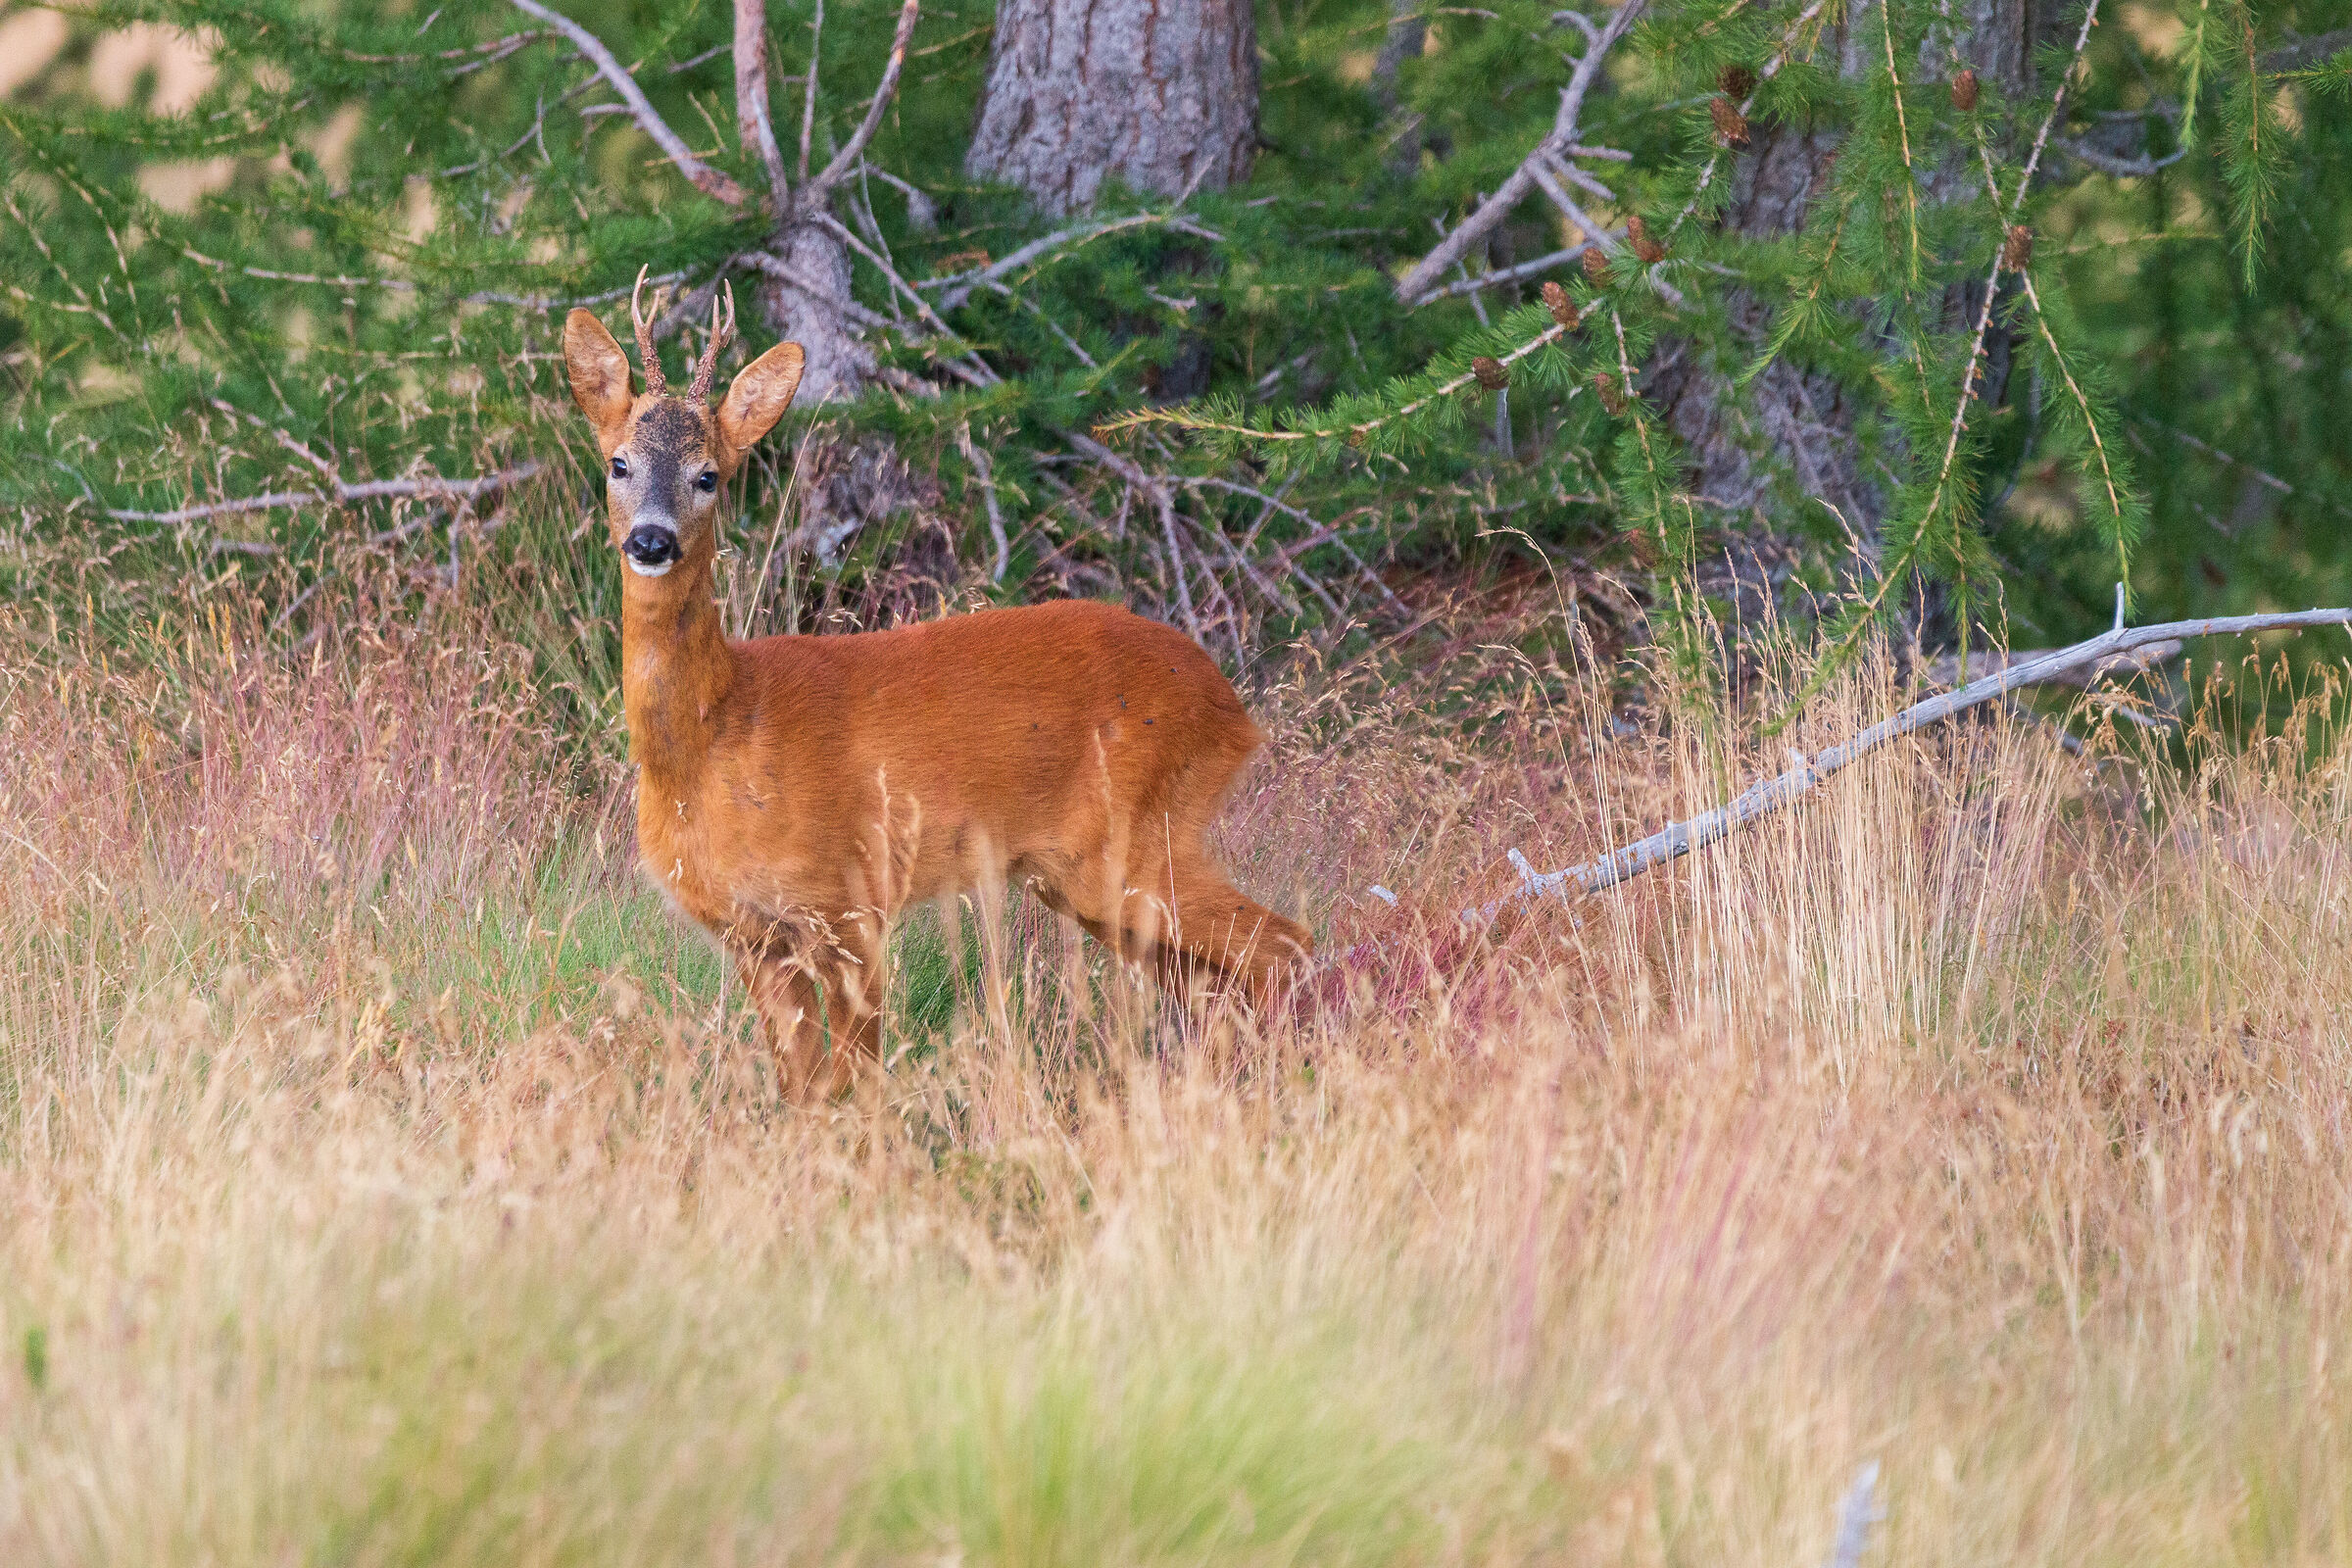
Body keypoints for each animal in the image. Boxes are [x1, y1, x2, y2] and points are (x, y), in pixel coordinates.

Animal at [561, 272, 1314, 1100]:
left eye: (709, 475)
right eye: (618, 463)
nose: (651, 540)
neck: (717, 737)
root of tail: (1232, 710)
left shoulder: (850, 900)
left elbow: (855, 1084)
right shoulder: (755, 936)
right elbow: (803, 1091)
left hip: (1138, 838)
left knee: (1284, 944)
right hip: (1095, 877)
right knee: (1216, 978)